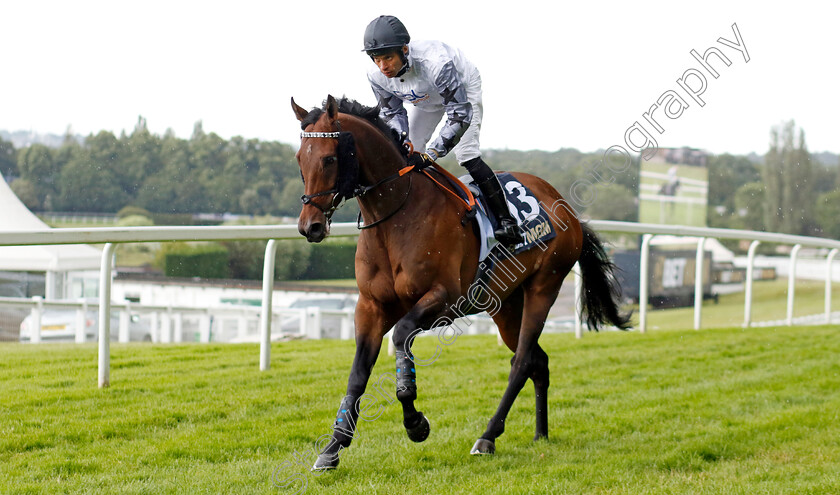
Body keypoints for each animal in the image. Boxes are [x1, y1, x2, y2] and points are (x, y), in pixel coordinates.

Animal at [292, 95, 628, 470]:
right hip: (505, 304)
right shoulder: (371, 306)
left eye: (330, 158)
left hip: (544, 287)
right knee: (538, 361)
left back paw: (488, 436)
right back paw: (541, 433)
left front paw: (415, 422)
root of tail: (566, 207)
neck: (397, 217)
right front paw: (332, 447)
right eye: (299, 158)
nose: (310, 226)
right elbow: (358, 372)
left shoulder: (444, 299)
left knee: (522, 361)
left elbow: (401, 336)